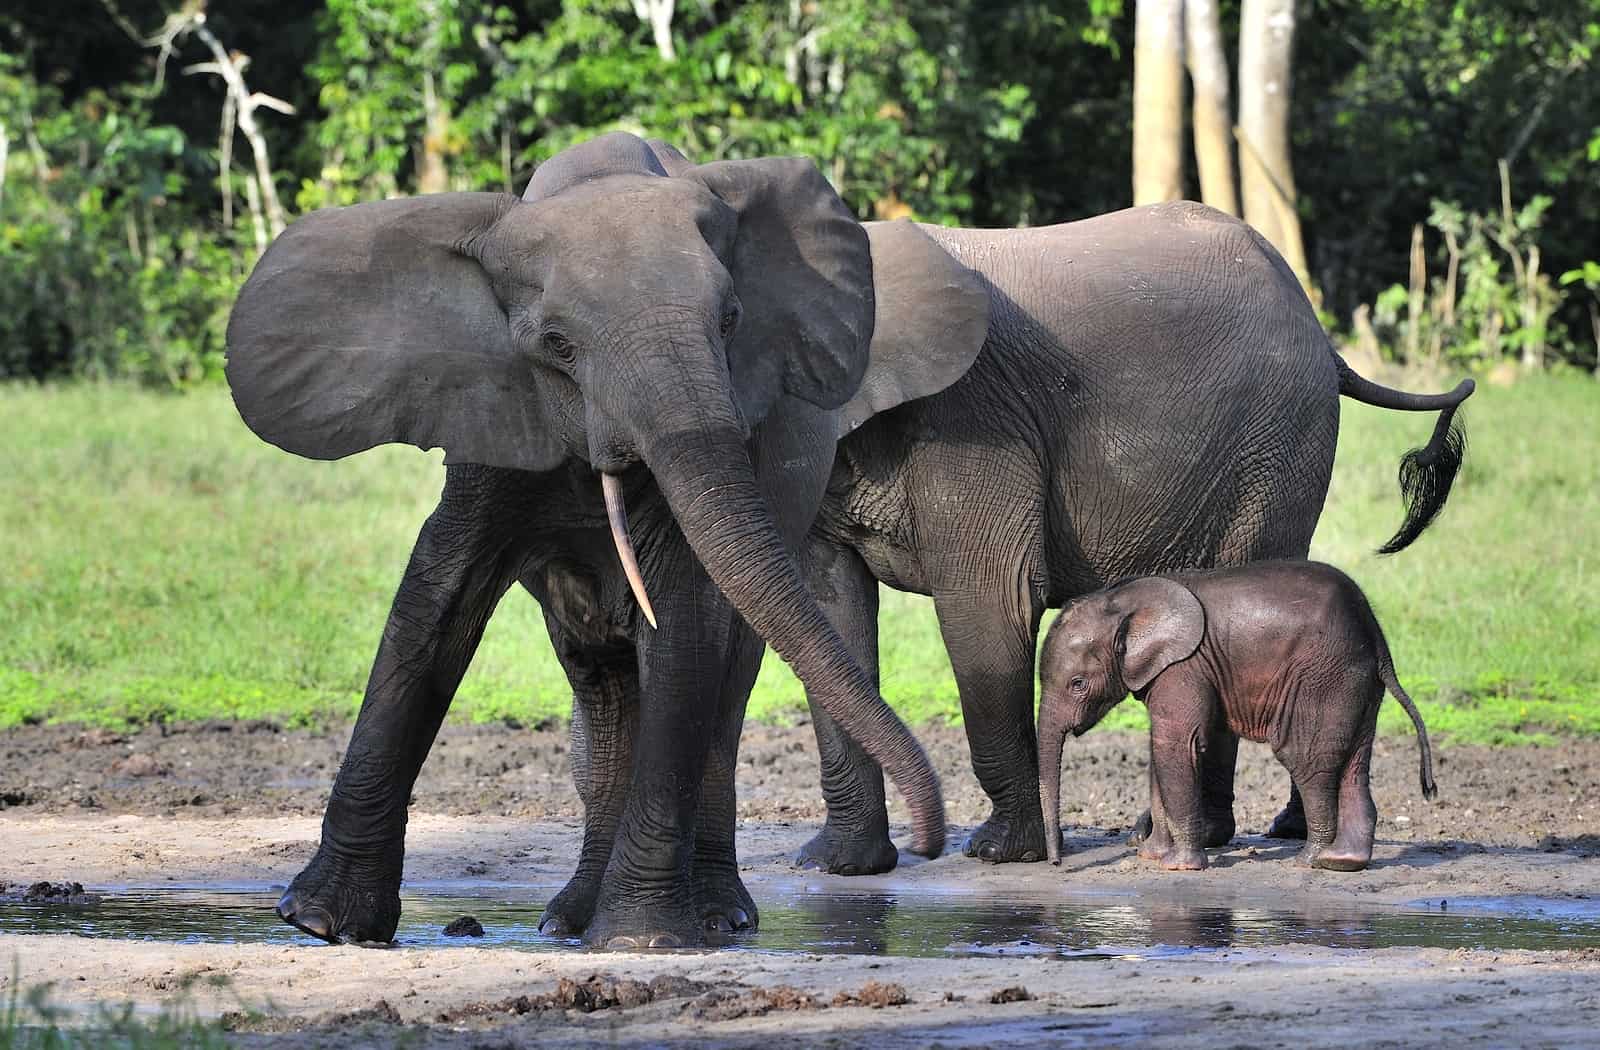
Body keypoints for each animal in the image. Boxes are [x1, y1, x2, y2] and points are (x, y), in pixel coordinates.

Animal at [220, 128, 985, 941]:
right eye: (557, 344)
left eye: (731, 321)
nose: (931, 841)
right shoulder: (491, 418)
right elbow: (435, 601)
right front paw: (319, 923)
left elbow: (681, 623)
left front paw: (641, 939)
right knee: (602, 686)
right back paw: (567, 920)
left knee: (721, 692)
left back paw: (714, 917)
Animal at [1036, 563, 1440, 870]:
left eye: (1077, 684)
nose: (1056, 863)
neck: (1121, 600)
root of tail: (1378, 637)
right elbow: (1159, 751)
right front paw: (1151, 856)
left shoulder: (1184, 666)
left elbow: (1175, 745)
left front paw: (1178, 867)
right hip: (1357, 684)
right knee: (1354, 764)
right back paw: (1342, 861)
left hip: (1325, 677)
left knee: (1305, 759)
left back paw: (1309, 860)